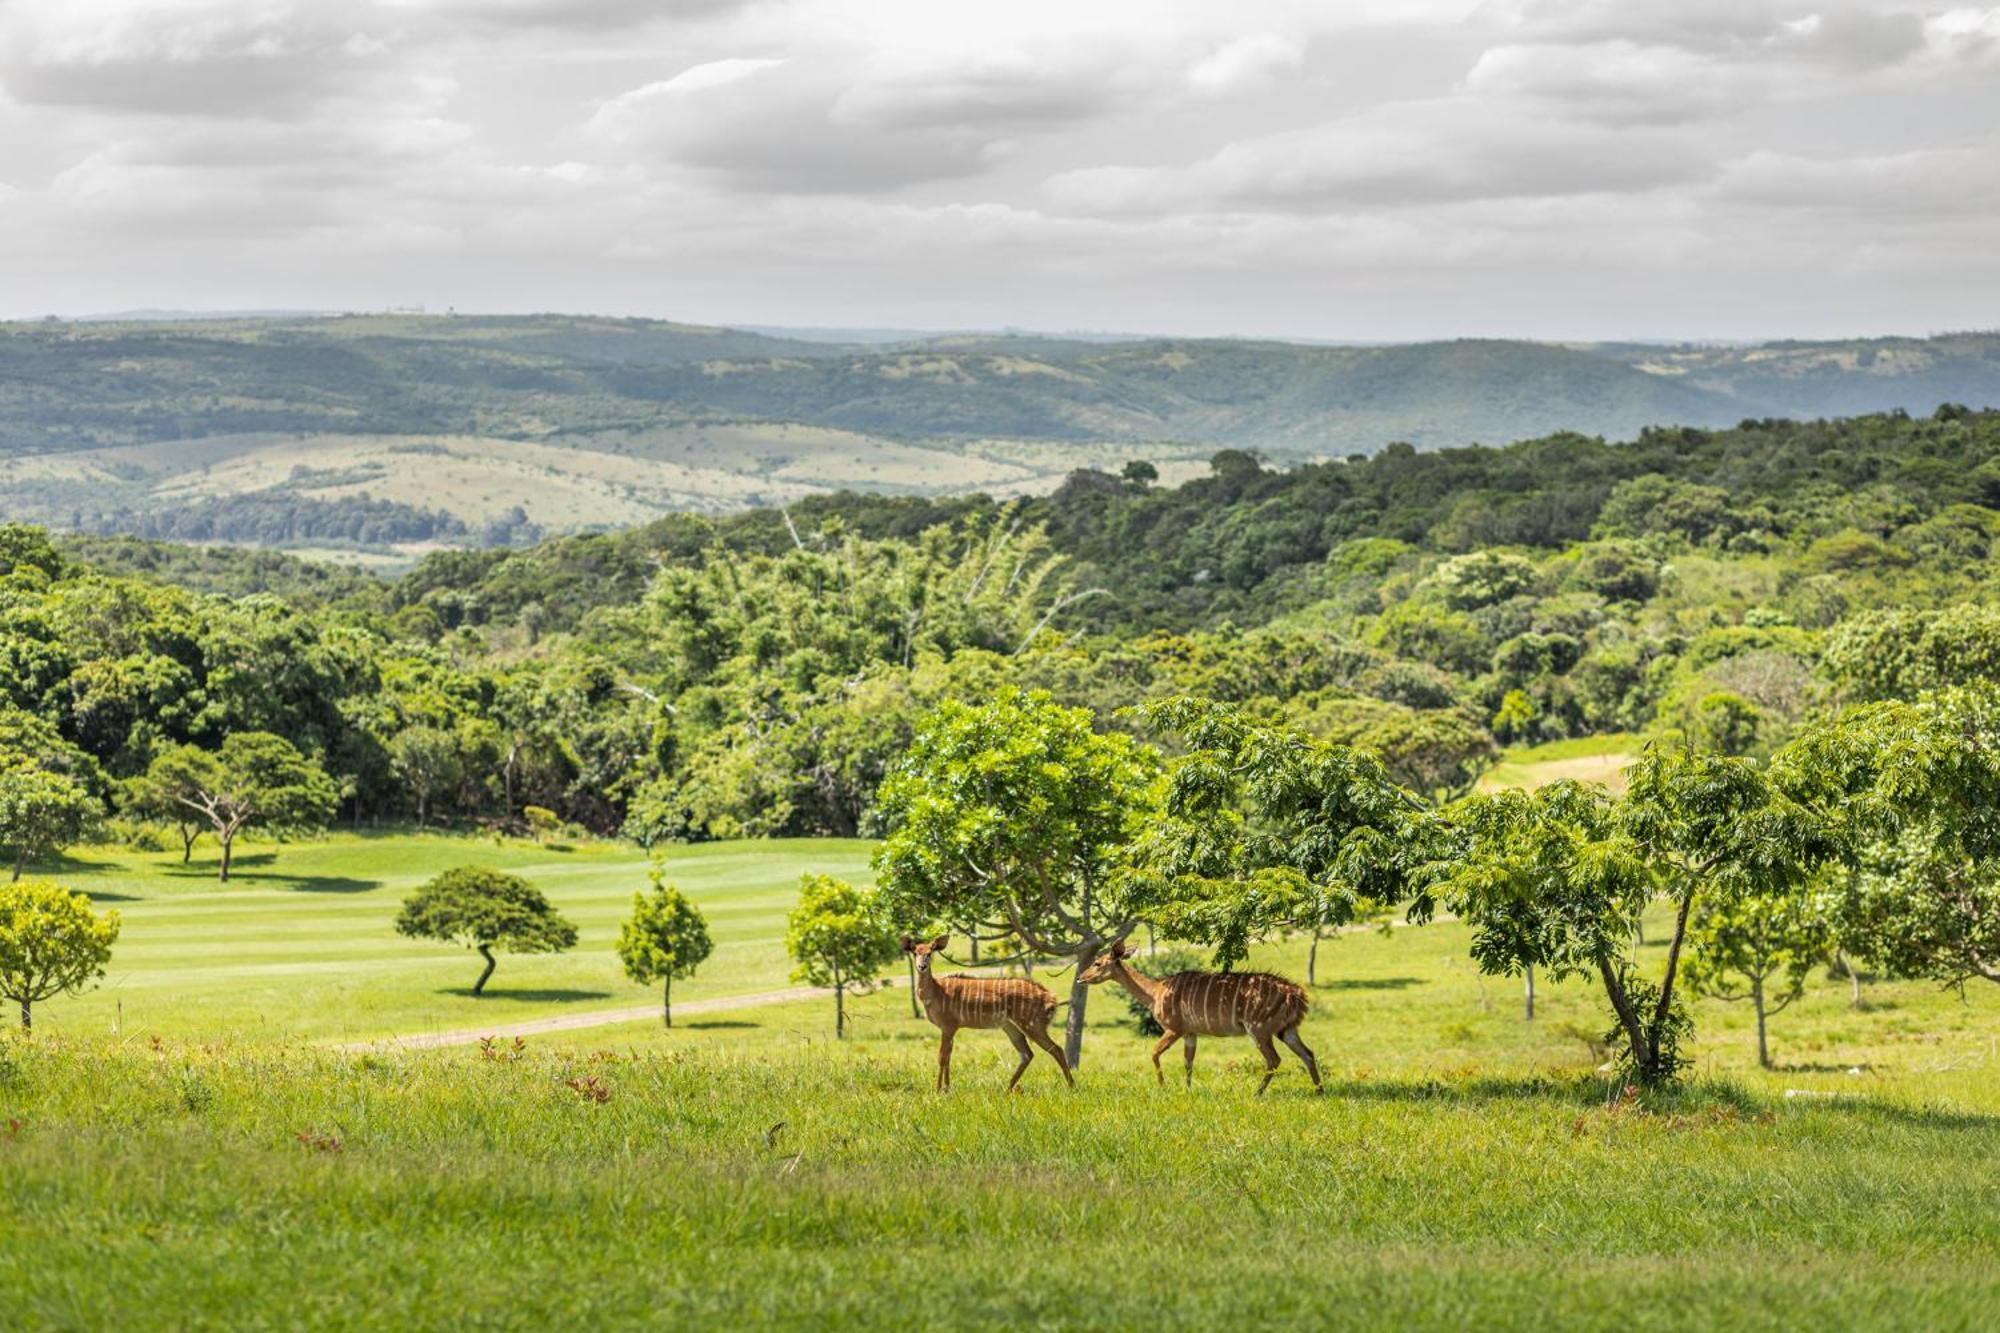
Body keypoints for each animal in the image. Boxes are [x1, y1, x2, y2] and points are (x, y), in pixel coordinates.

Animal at [904, 932, 1072, 1088]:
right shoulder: (951, 1028)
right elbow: (949, 1056)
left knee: (1056, 1049)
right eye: (915, 952)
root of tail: (1050, 998)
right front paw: (947, 1088)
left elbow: (942, 1057)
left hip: (1032, 1025)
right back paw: (1008, 1088)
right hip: (1009, 1026)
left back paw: (1071, 1086)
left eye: (930, 952)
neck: (936, 992)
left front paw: (938, 1090)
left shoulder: (948, 1025)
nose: (922, 966)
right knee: (1027, 1054)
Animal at [1080, 932, 1328, 1088]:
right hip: (1287, 1029)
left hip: (1259, 1029)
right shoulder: (1191, 1033)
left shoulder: (1174, 1028)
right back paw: (1319, 1091)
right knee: (1308, 1053)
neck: (1155, 992)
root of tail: (1296, 994)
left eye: (1097, 963)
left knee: (1274, 1060)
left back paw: (1257, 1093)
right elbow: (1188, 1062)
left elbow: (1154, 1052)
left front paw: (1163, 1087)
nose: (1081, 978)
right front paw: (1187, 1090)